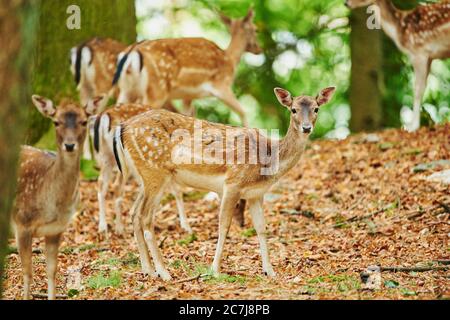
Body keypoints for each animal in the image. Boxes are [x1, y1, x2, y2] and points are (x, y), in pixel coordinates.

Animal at [12, 94, 104, 298]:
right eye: (56, 122)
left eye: (84, 121)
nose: (69, 145)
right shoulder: (22, 224)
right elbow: (27, 272)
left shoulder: (56, 229)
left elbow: (52, 271)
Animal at [94, 103, 192, 235]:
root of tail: (105, 115)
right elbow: (177, 190)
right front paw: (186, 227)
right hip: (123, 161)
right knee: (116, 185)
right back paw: (119, 228)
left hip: (106, 156)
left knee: (101, 183)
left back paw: (103, 227)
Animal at [110, 9, 262, 126]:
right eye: (256, 30)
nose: (259, 49)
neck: (230, 59)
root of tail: (130, 53)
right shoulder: (221, 85)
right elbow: (243, 112)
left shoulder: (188, 96)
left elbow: (188, 114)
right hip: (157, 88)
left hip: (126, 89)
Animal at [113, 85, 334, 280]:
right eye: (293, 109)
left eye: (316, 108)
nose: (306, 128)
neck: (268, 162)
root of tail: (123, 128)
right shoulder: (233, 183)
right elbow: (224, 226)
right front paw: (215, 271)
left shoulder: (256, 194)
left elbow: (261, 228)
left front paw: (270, 271)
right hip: (155, 171)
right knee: (146, 218)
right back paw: (164, 273)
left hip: (143, 176)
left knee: (134, 214)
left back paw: (148, 270)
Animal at [346, 0, 448, 131]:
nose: (346, 3)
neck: (398, 28)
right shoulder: (429, 57)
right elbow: (423, 87)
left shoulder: (419, 52)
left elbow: (417, 89)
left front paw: (412, 127)